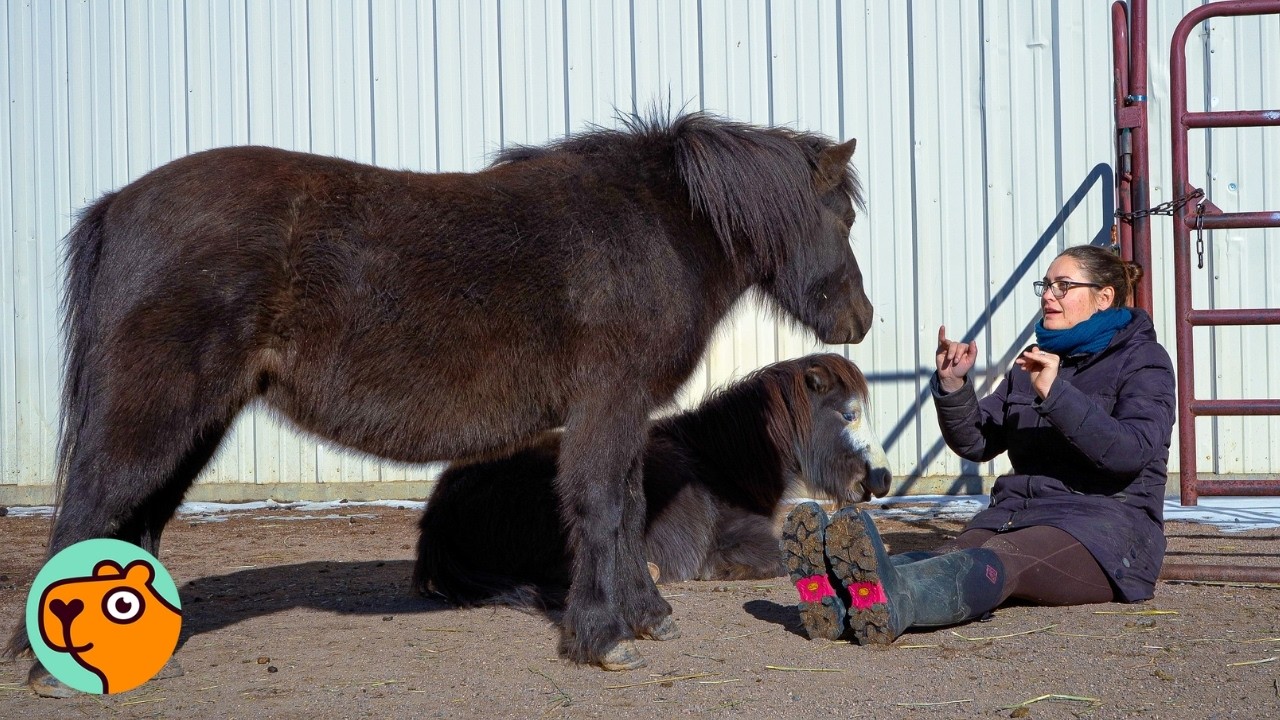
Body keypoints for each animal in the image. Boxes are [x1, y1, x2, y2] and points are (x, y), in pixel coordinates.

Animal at [416, 353, 892, 607]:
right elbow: (775, 561)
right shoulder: (745, 539)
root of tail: (440, 507)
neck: (717, 463)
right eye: (849, 414)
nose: (883, 480)